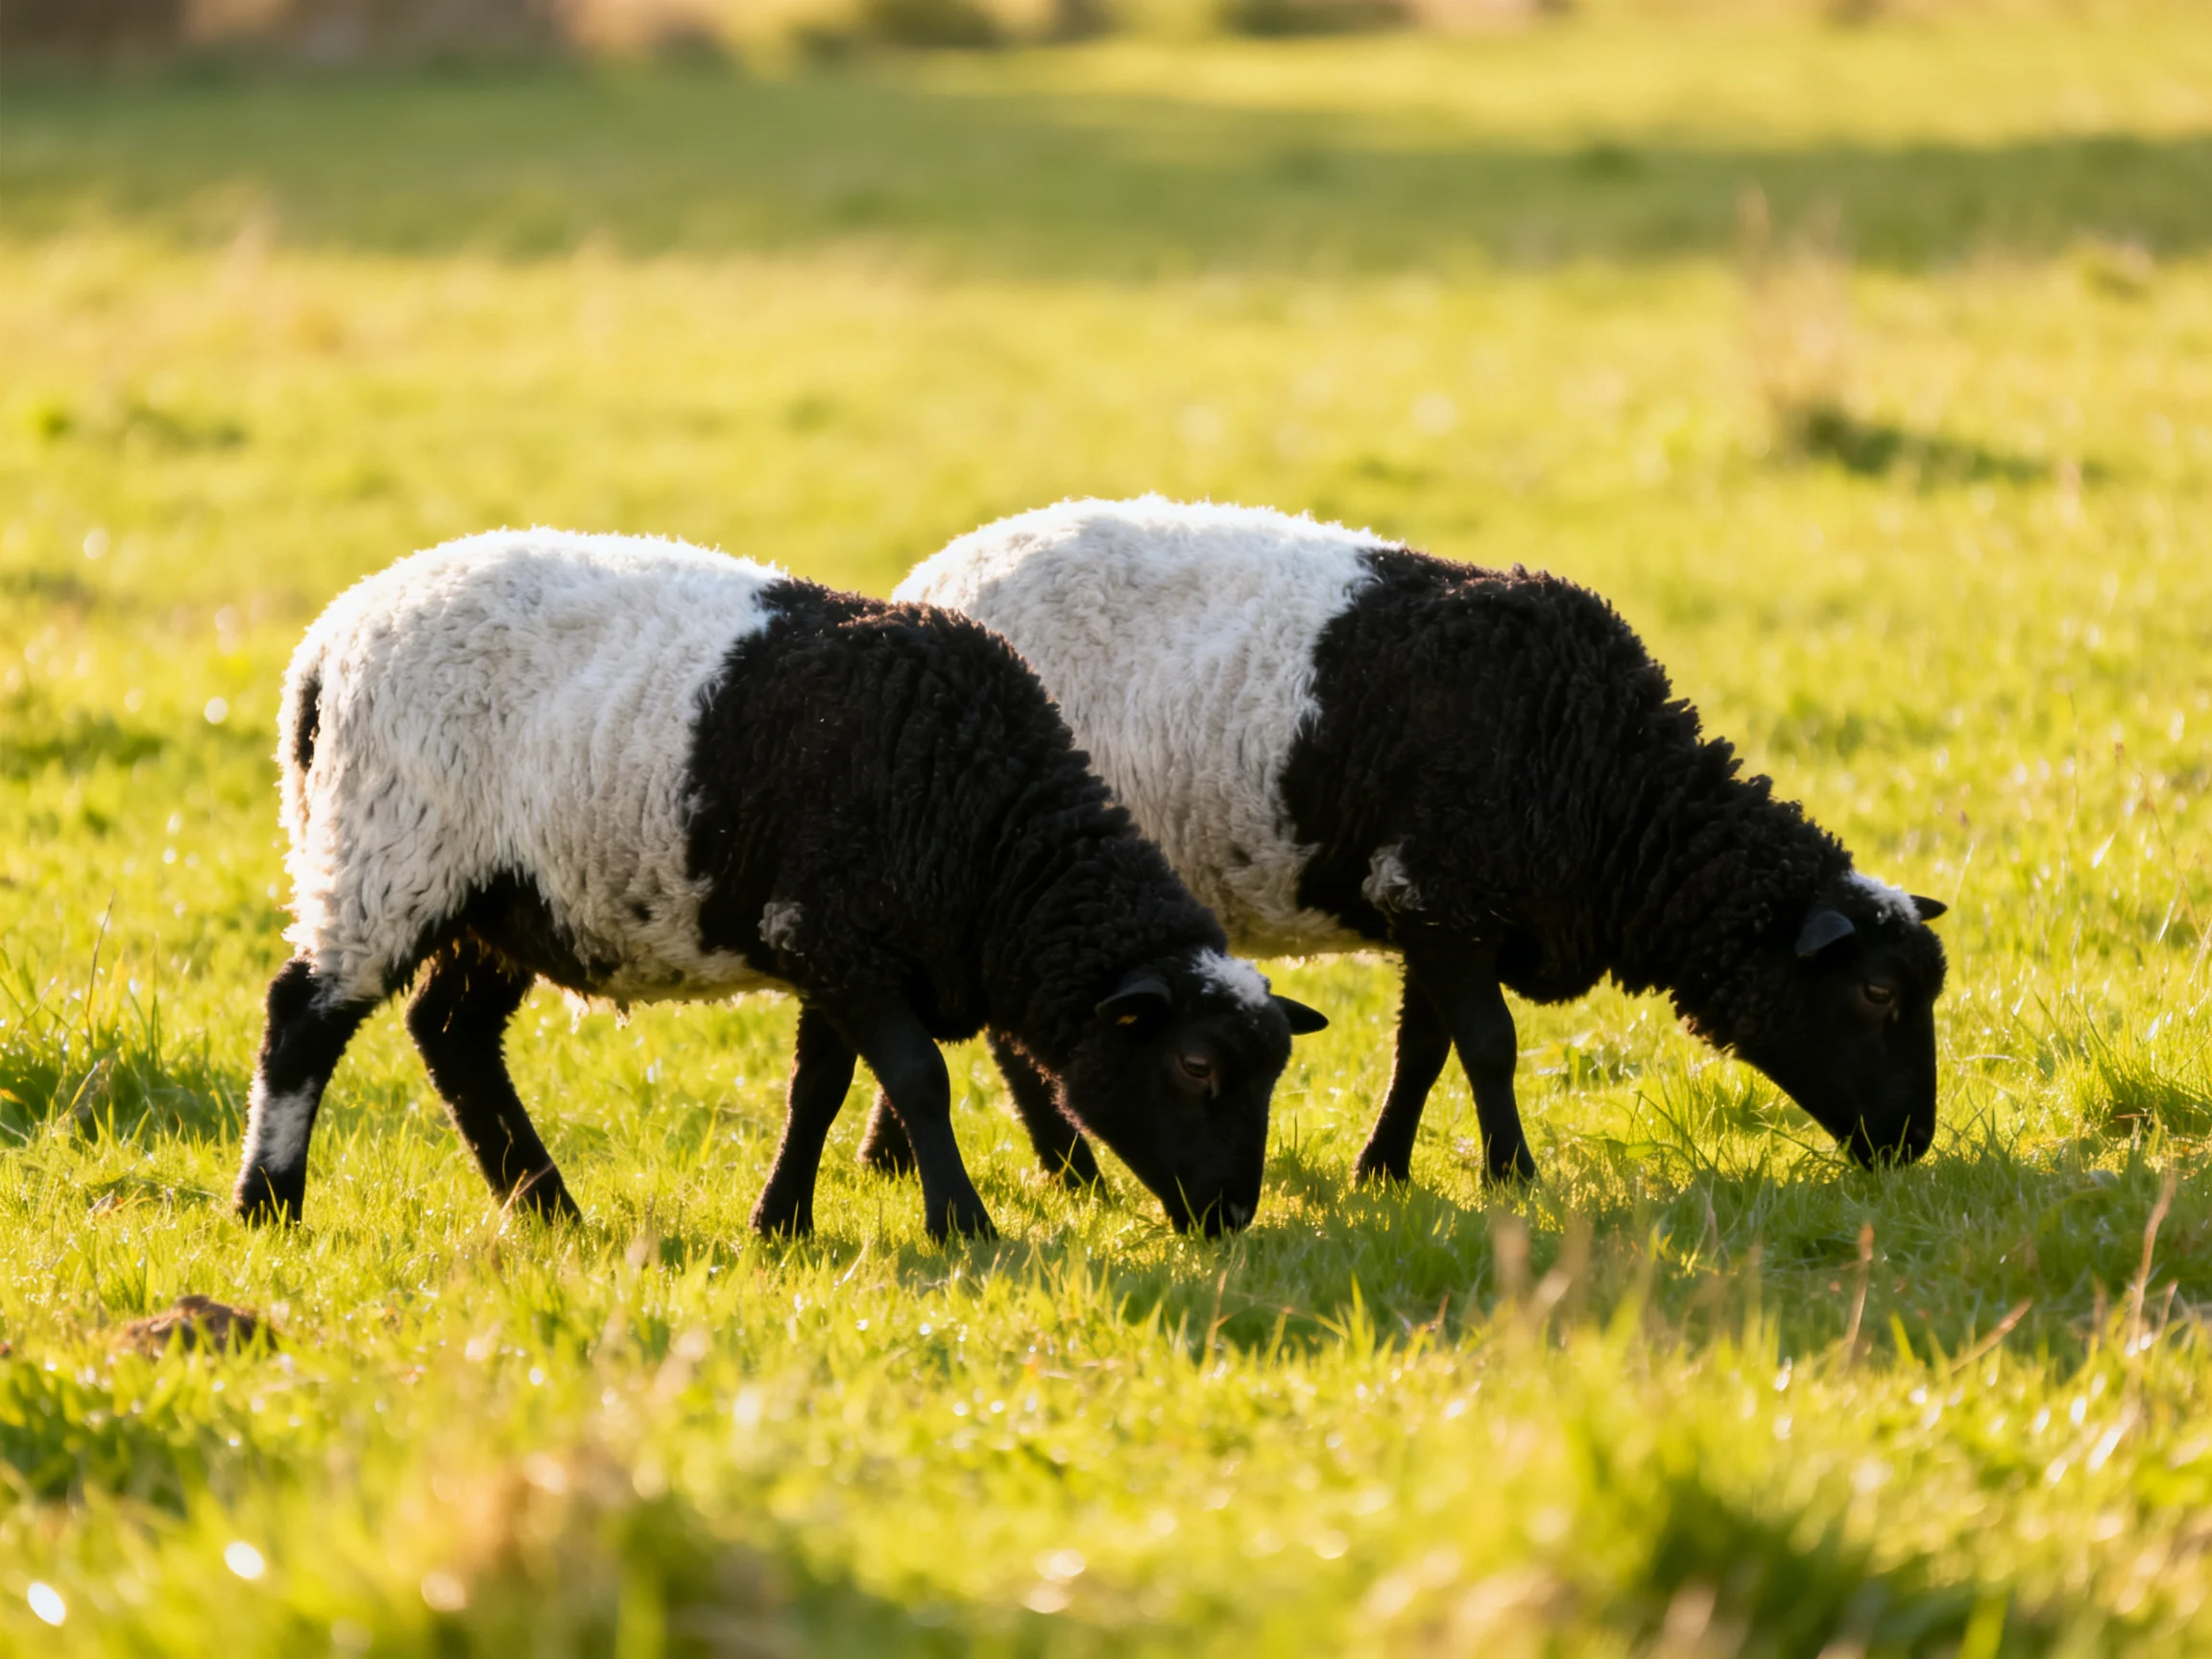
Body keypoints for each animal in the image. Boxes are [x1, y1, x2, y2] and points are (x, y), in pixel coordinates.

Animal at [233, 528, 1327, 1241]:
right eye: (1196, 1067)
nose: (1233, 1216)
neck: (987, 832)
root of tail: (325, 647)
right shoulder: (837, 937)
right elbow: (917, 1078)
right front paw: (961, 1224)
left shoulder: (833, 949)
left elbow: (822, 1088)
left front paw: (781, 1222)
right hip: (386, 855)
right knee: (305, 1019)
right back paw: (269, 1203)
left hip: (509, 899)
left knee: (453, 1035)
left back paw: (546, 1206)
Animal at [859, 496, 1949, 1186]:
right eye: (1877, 992)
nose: (1912, 1144)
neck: (1609, 785)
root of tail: (935, 574)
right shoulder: (1442, 895)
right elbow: (1490, 1045)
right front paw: (1512, 1175)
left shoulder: (1429, 912)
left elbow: (1423, 1049)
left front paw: (1381, 1170)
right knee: (1013, 1043)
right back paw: (1068, 1170)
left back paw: (887, 1158)